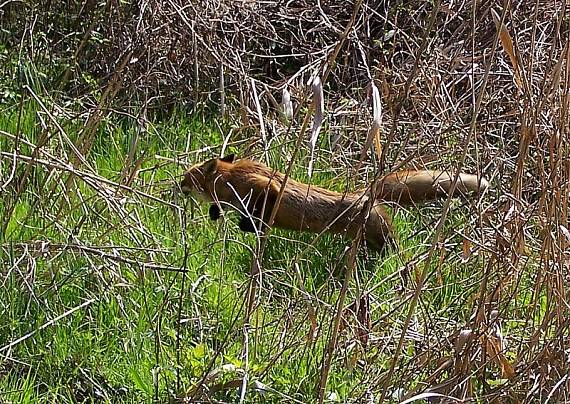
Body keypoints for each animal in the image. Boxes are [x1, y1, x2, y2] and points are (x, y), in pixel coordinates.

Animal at [180, 154, 486, 251]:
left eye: (187, 177)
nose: (176, 186)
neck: (230, 179)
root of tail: (365, 194)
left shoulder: (261, 186)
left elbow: (262, 212)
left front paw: (250, 226)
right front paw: (216, 212)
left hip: (378, 234)